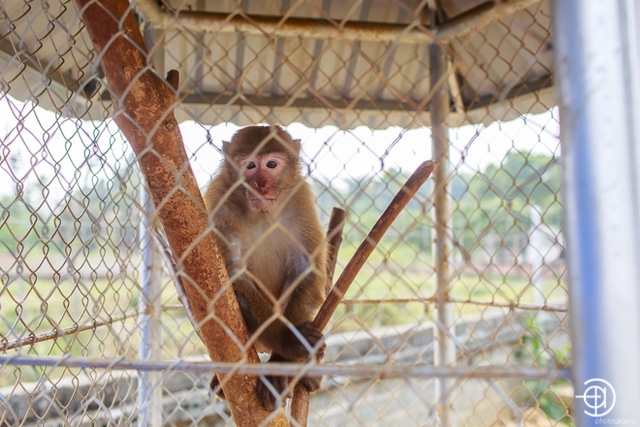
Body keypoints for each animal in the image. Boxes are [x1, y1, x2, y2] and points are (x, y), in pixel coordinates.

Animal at [204, 125, 328, 412]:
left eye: (271, 164)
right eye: (249, 165)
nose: (260, 184)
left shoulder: (299, 196)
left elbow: (305, 268)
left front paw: (282, 363)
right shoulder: (219, 199)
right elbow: (229, 276)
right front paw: (289, 339)